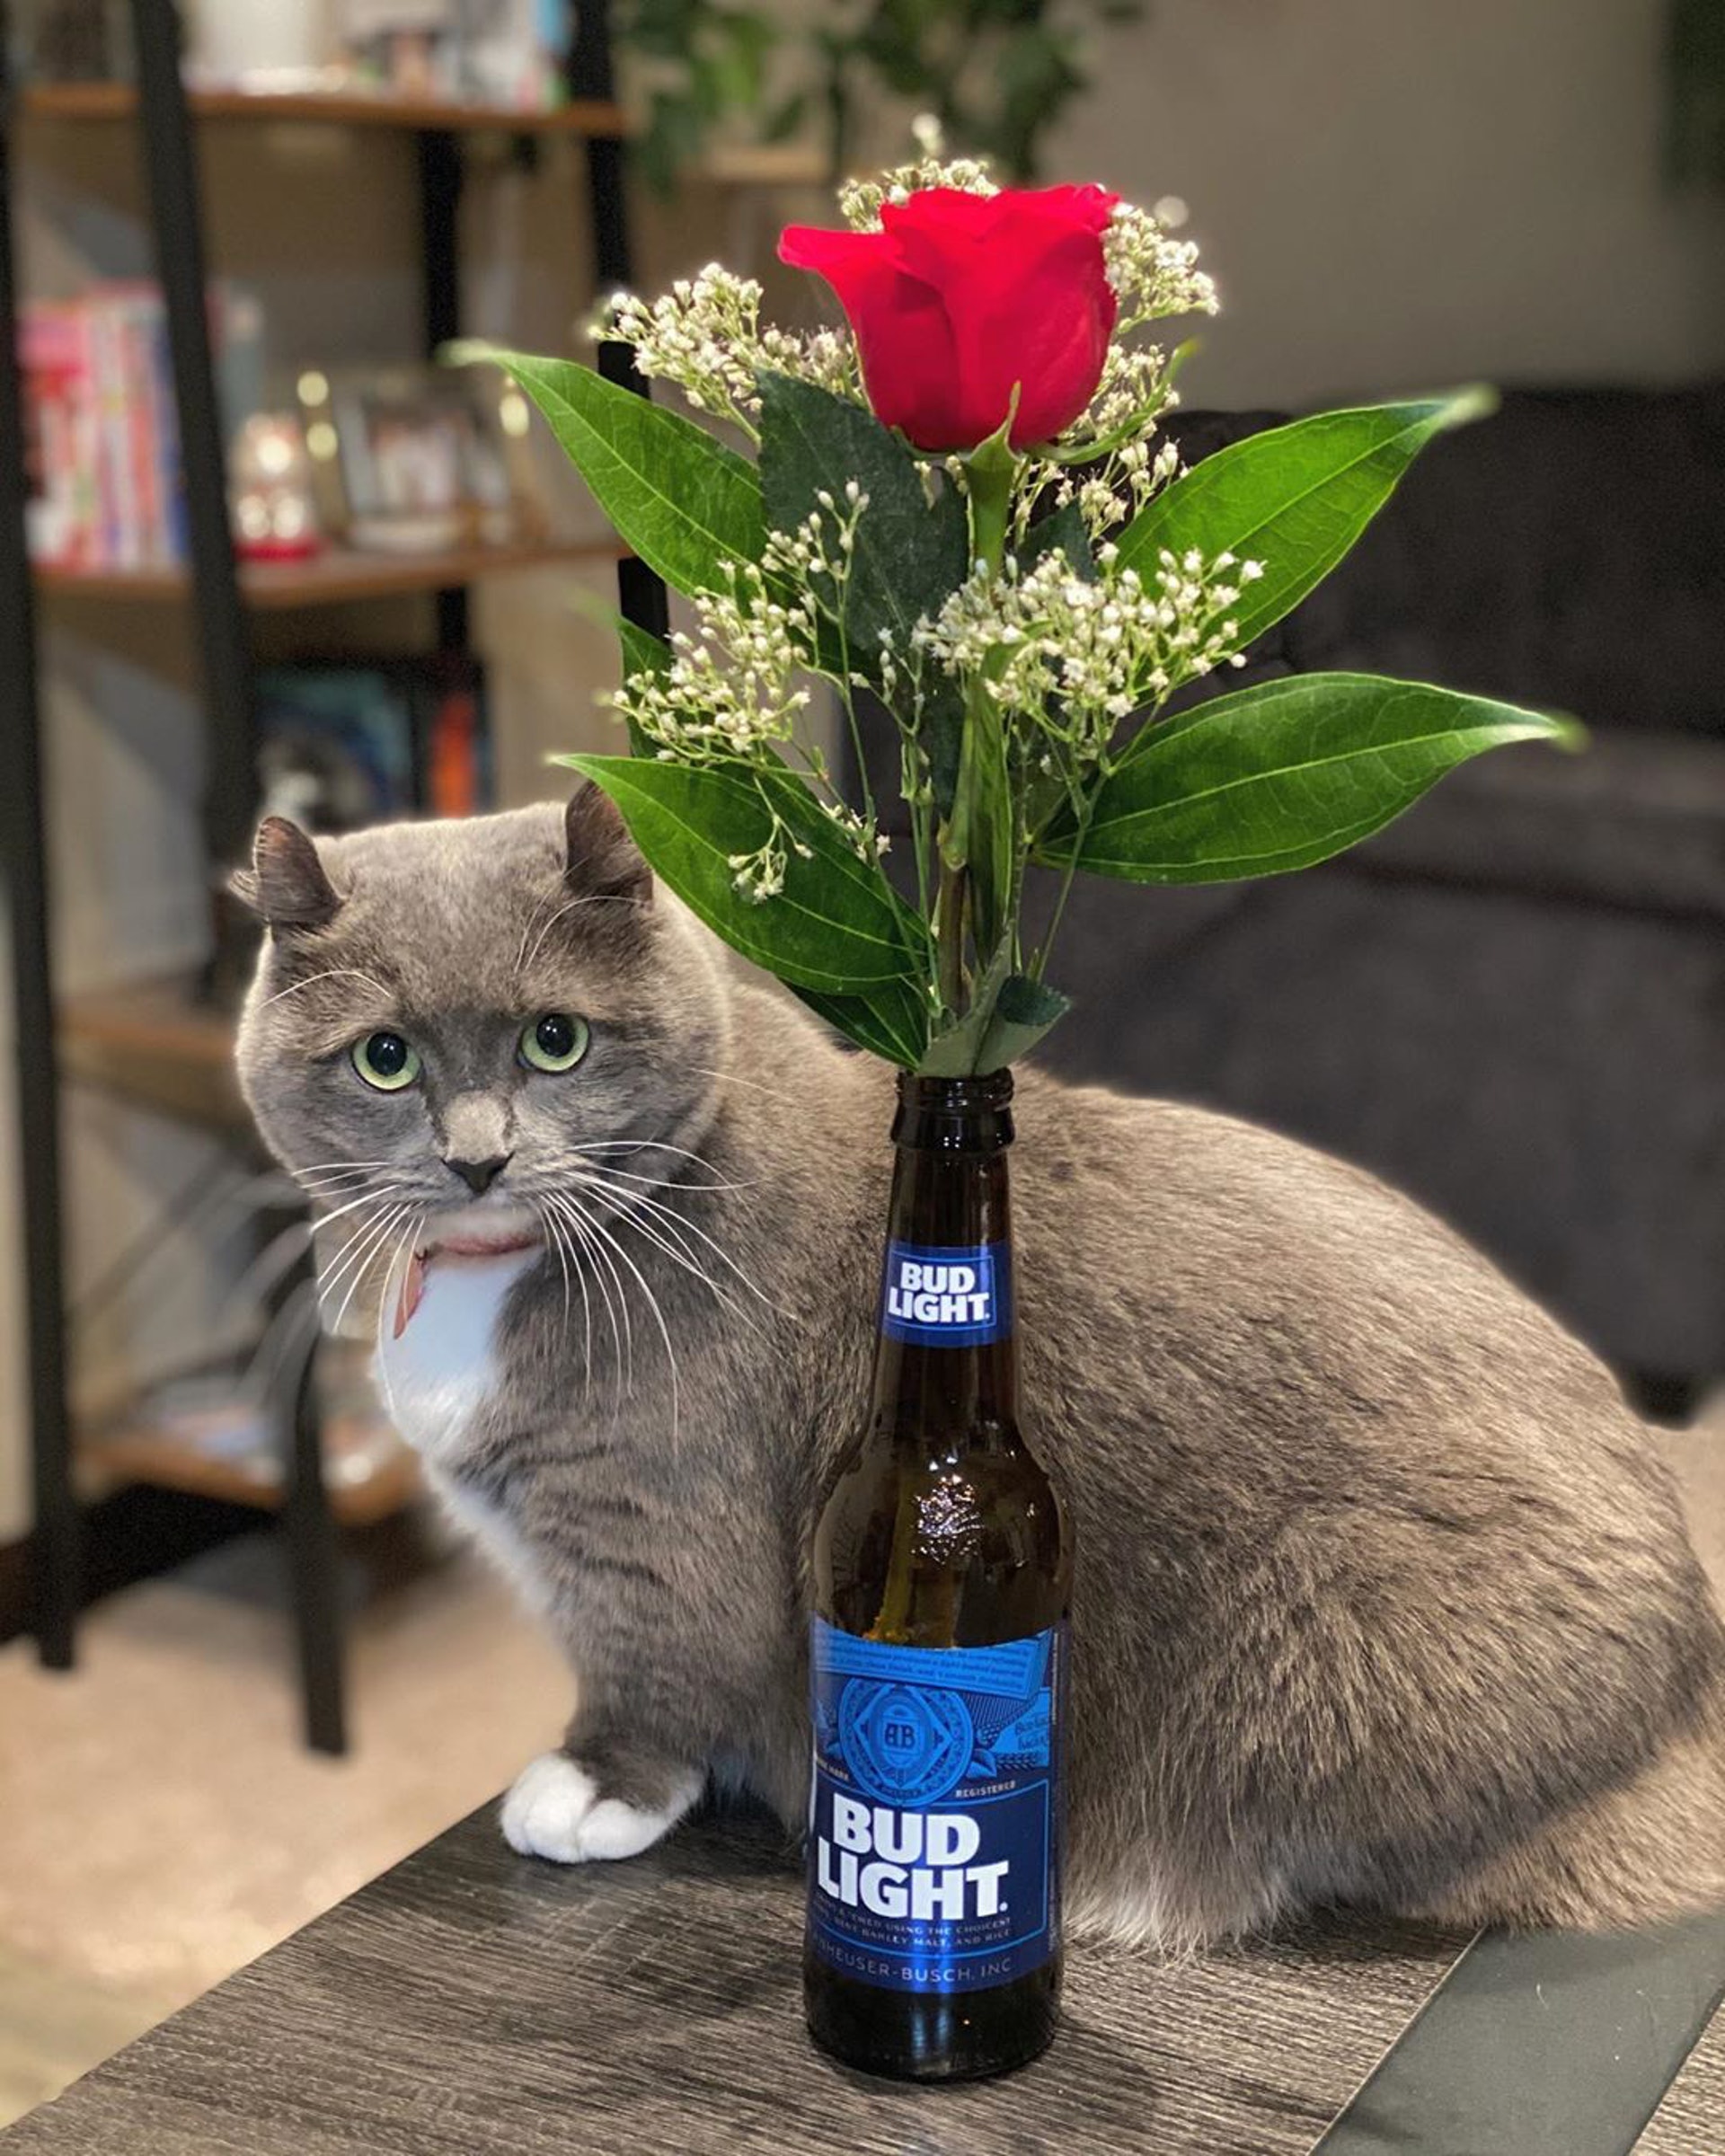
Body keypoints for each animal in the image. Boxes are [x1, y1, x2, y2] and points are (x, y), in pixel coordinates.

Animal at [234, 789, 1725, 1947]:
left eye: (557, 1039)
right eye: (383, 1060)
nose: (477, 1158)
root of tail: (1683, 1704)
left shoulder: (651, 1526)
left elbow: (660, 1666)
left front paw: (589, 1790)